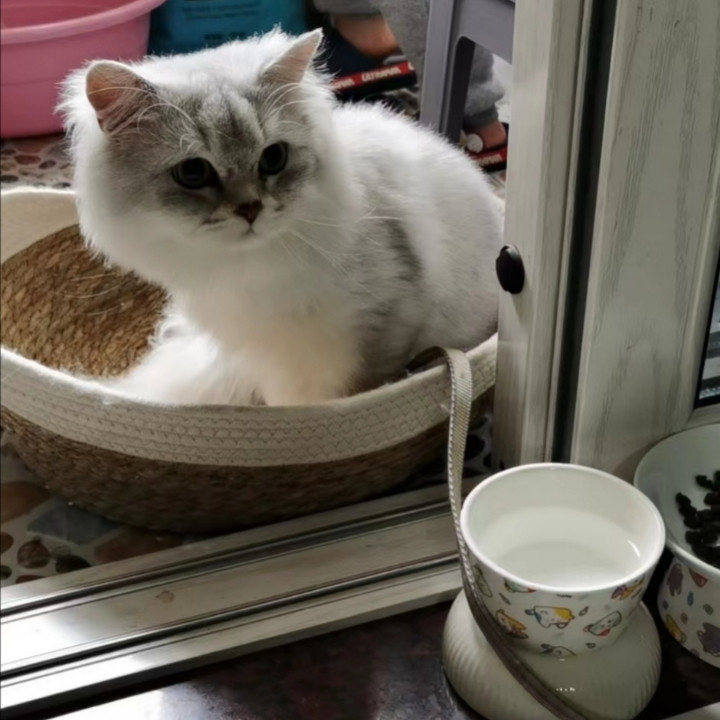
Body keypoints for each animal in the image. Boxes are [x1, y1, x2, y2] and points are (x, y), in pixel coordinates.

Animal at [60, 29, 503, 406]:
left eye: (273, 158)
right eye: (193, 172)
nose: (250, 209)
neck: (246, 269)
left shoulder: (378, 332)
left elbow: (344, 397)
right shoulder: (268, 355)